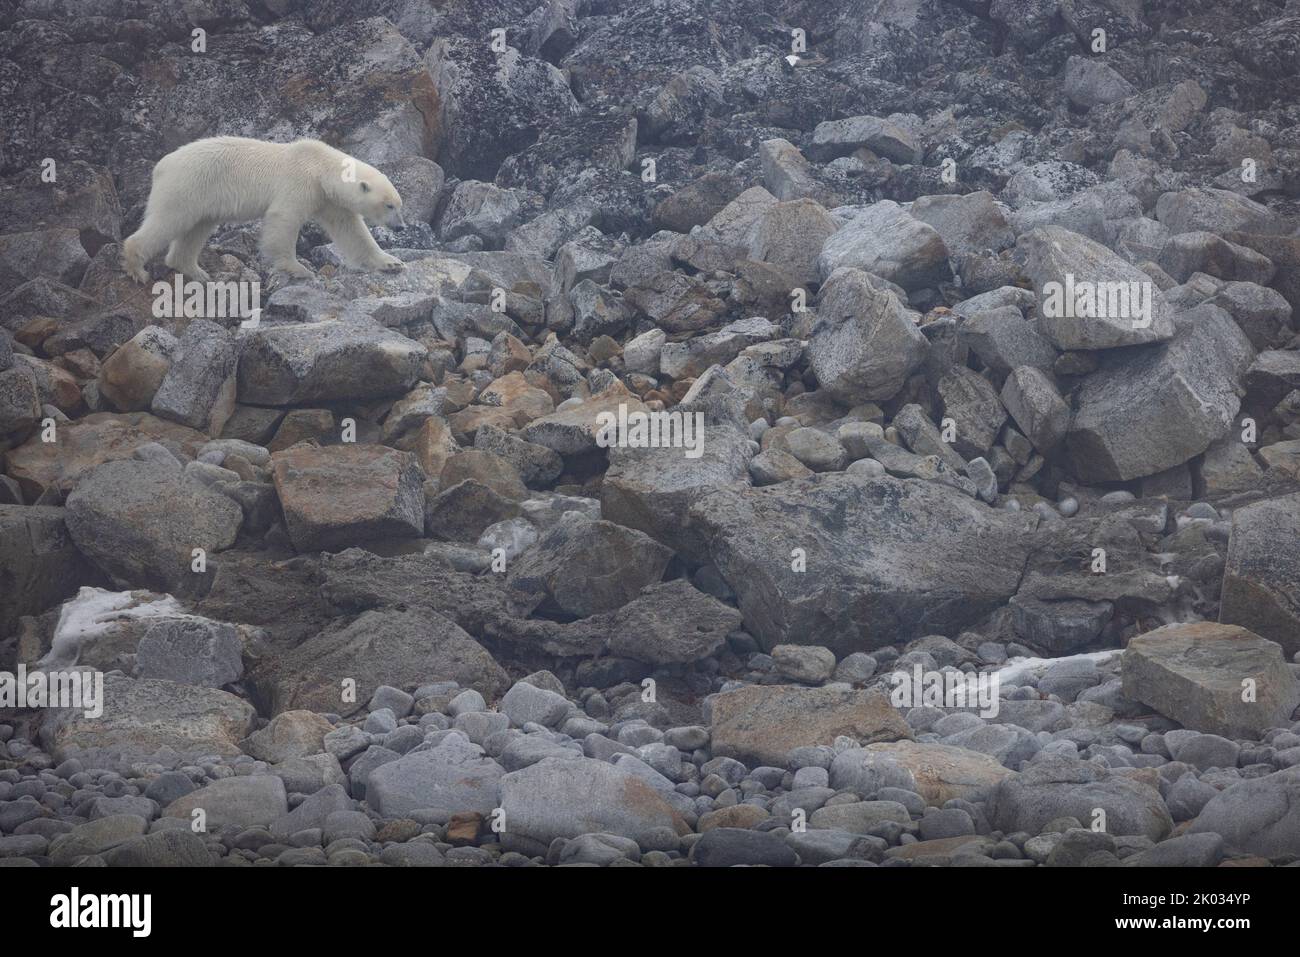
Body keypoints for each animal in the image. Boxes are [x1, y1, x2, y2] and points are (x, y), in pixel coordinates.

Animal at [121, 136, 407, 283]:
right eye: (389, 205)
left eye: (399, 204)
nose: (401, 226)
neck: (321, 167)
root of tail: (162, 165)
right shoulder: (300, 182)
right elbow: (284, 218)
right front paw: (298, 268)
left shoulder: (327, 199)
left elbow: (352, 231)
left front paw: (392, 262)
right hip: (187, 185)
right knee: (169, 220)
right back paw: (138, 269)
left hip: (202, 197)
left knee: (197, 229)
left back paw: (197, 271)